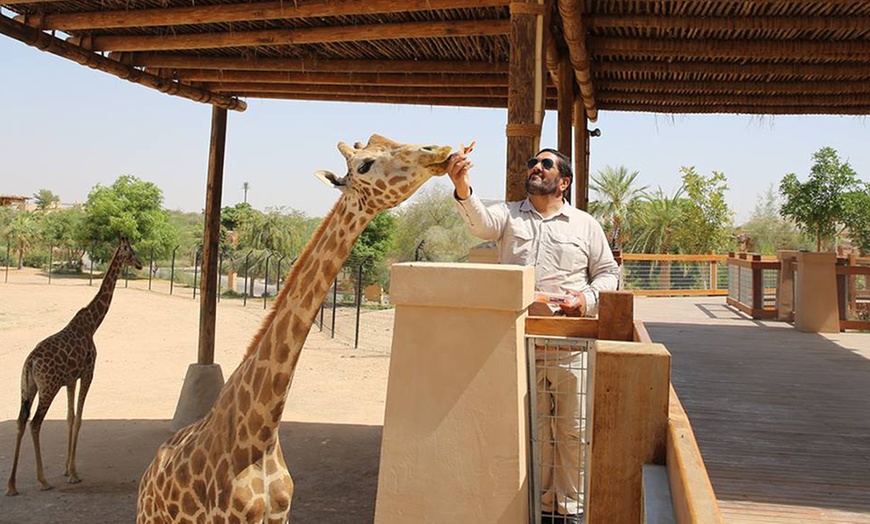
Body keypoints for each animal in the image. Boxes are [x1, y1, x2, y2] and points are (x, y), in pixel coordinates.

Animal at [5, 237, 142, 496]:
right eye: (131, 251)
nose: (140, 264)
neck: (92, 325)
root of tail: (30, 362)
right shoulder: (88, 373)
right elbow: (79, 418)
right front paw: (74, 474)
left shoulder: (70, 379)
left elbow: (70, 417)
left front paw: (67, 469)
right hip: (48, 388)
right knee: (35, 423)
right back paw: (42, 481)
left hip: (27, 388)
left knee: (20, 421)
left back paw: (11, 485)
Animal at [136, 135, 456, 524]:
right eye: (363, 165)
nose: (437, 151)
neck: (261, 434)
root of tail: (148, 474)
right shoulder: (228, 519)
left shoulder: (282, 514)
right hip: (147, 518)